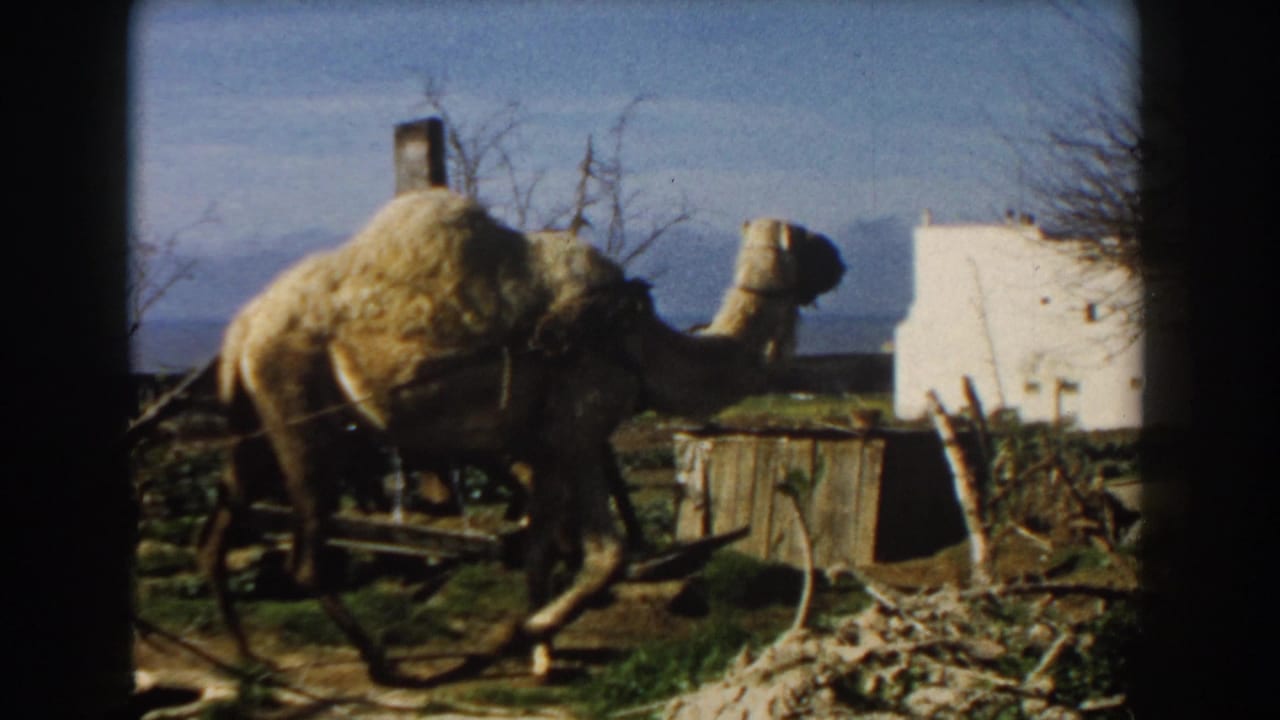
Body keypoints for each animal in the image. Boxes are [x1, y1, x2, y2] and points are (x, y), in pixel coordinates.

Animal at [197, 188, 844, 683]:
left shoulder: (545, 448)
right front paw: (514, 638)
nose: (840, 259)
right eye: (807, 237)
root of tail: (243, 328)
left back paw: (248, 658)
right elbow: (605, 556)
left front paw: (541, 654)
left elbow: (545, 551)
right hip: (299, 405)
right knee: (306, 555)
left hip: (259, 421)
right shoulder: (579, 429)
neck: (637, 341)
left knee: (222, 523)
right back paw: (383, 665)